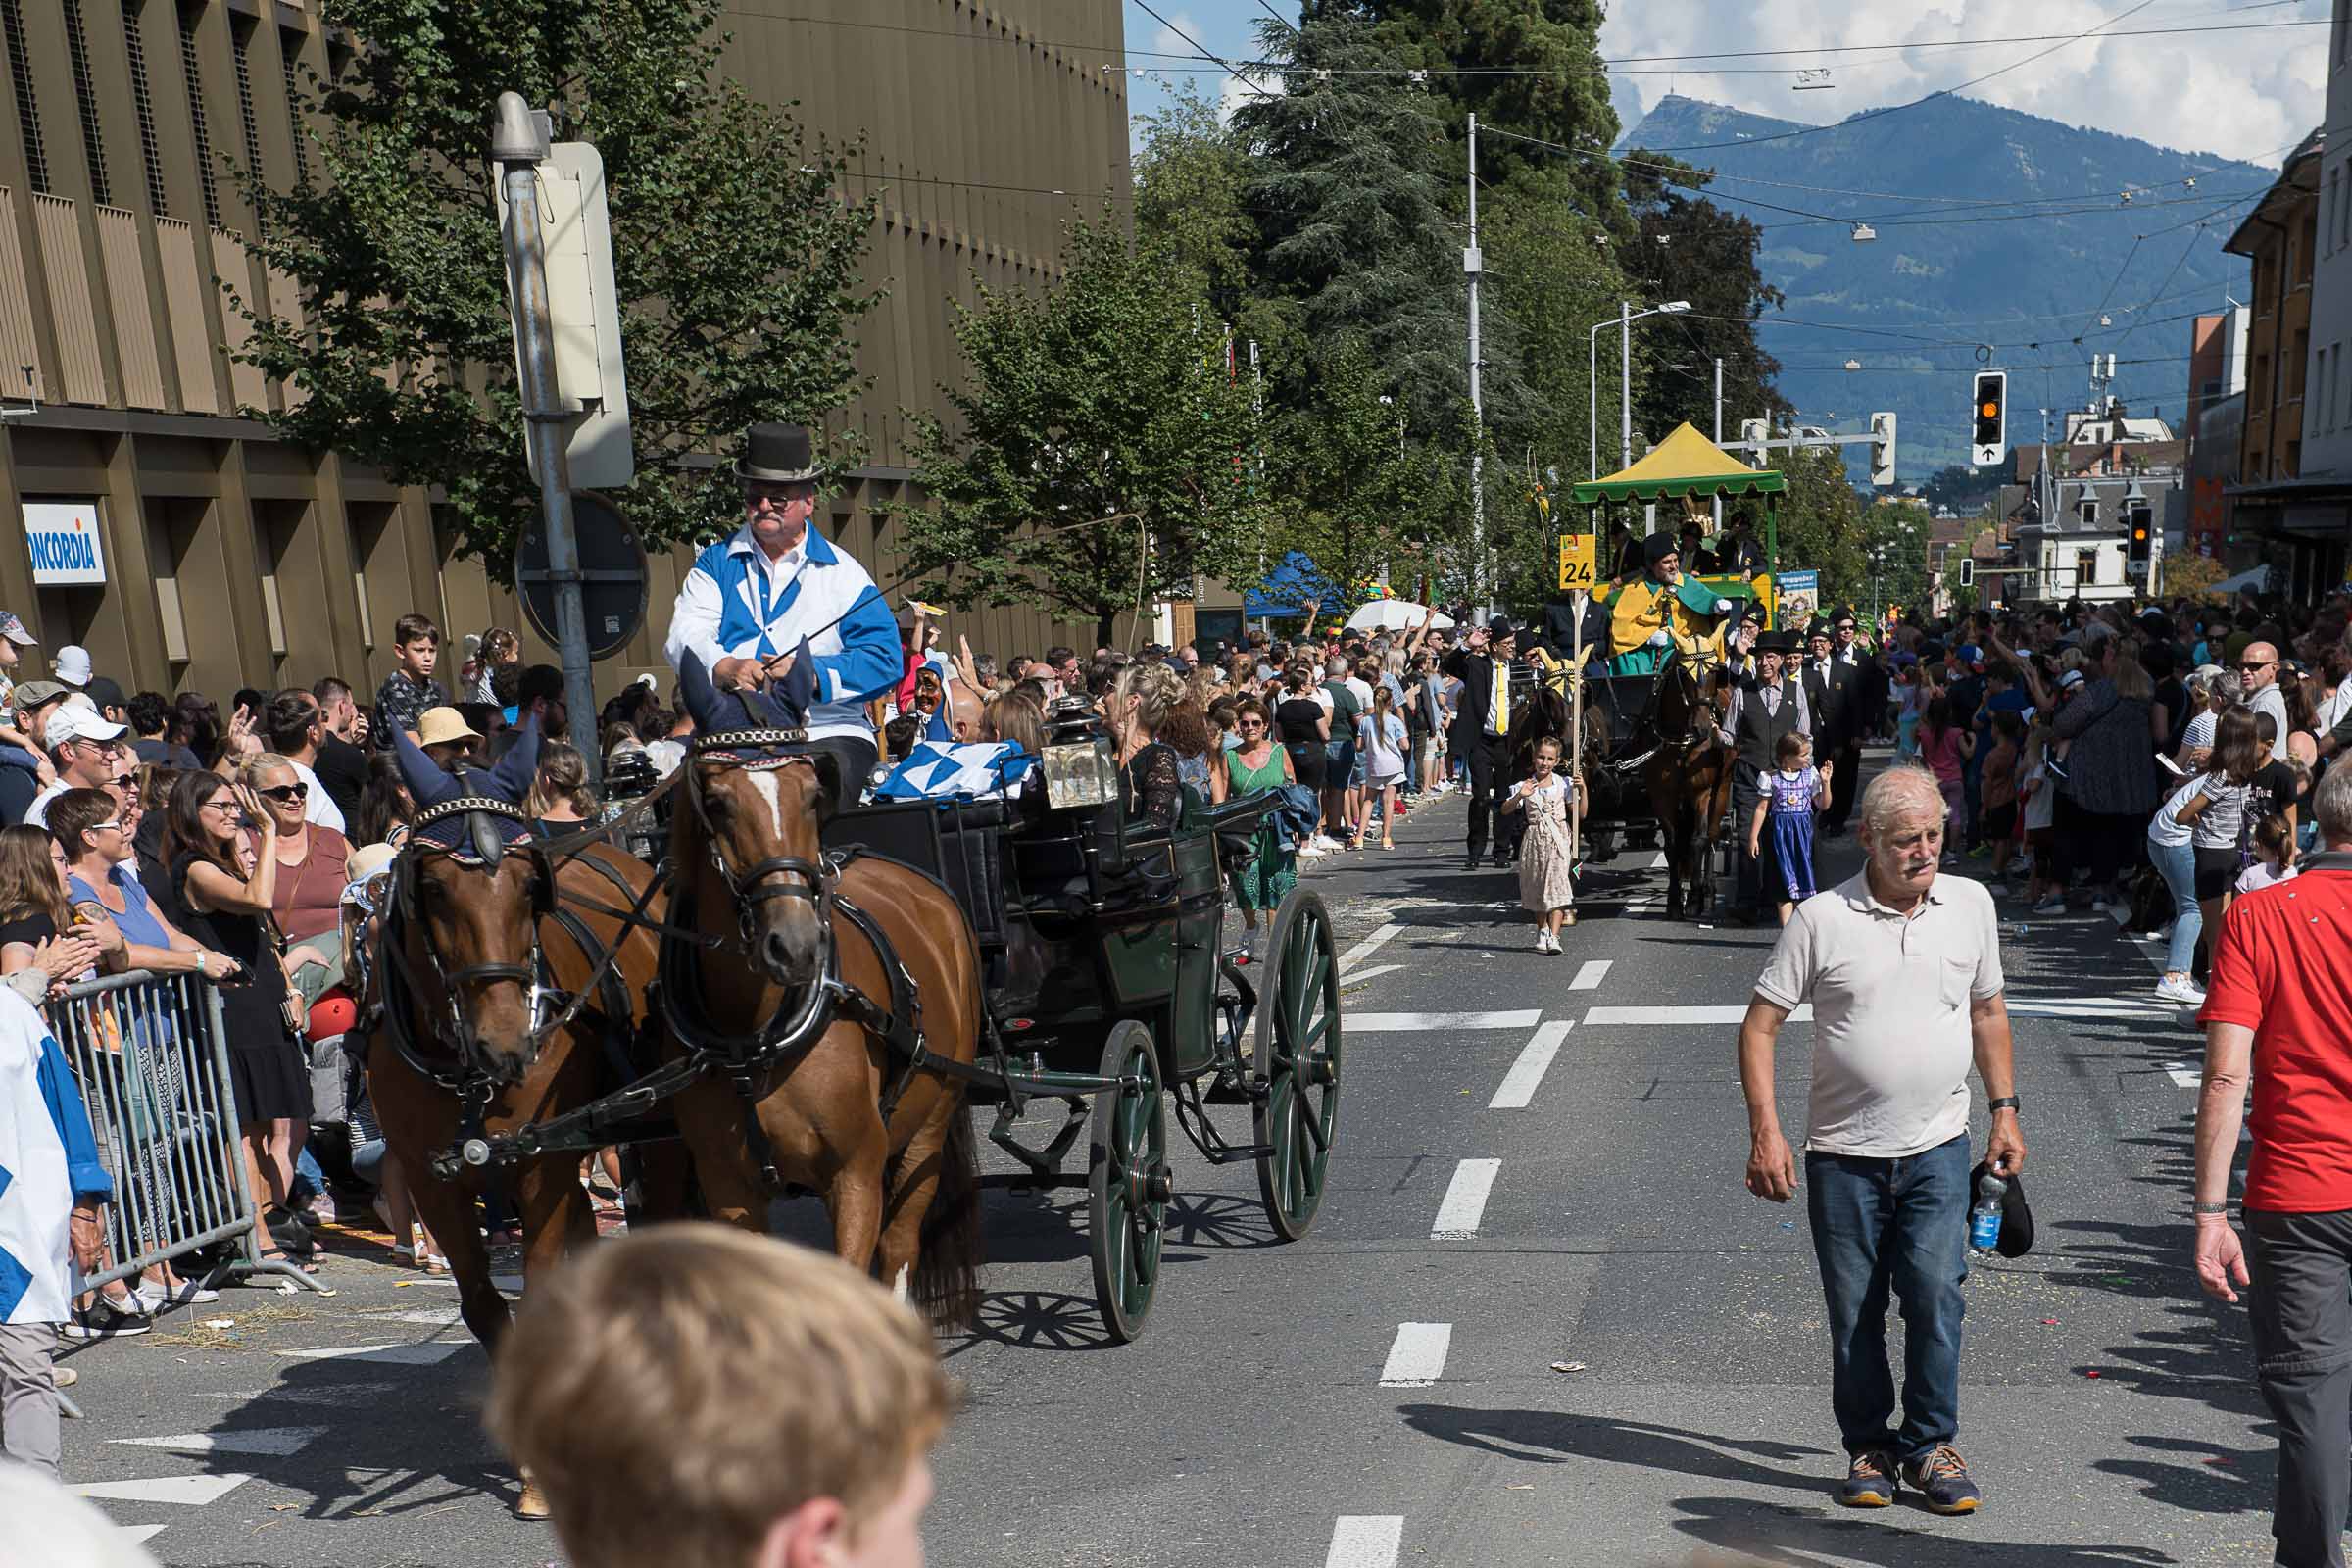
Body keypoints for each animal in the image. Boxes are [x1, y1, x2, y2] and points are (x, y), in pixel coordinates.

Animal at [662, 653, 983, 1325]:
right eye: (717, 801)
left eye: (813, 795)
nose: (796, 945)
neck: (754, 1037)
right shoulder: (729, 1190)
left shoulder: (855, 1172)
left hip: (931, 1122)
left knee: (900, 1244)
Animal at [1646, 649, 1740, 921]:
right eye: (1684, 674)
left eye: (1713, 672)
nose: (1703, 729)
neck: (1683, 743)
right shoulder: (1661, 795)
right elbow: (1673, 845)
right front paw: (1674, 901)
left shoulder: (1702, 792)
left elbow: (1698, 840)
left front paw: (1695, 899)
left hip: (1722, 788)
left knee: (1712, 835)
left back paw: (1708, 890)